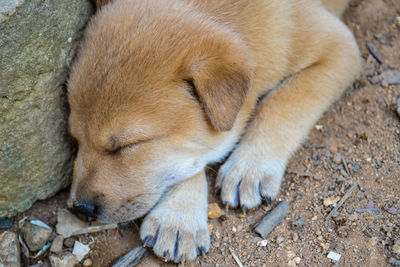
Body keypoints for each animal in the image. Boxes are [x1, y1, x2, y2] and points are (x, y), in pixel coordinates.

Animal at [67, 0, 360, 264]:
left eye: (127, 145)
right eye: (76, 139)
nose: (80, 209)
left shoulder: (339, 47)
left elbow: (282, 103)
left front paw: (250, 167)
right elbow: (188, 161)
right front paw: (178, 218)